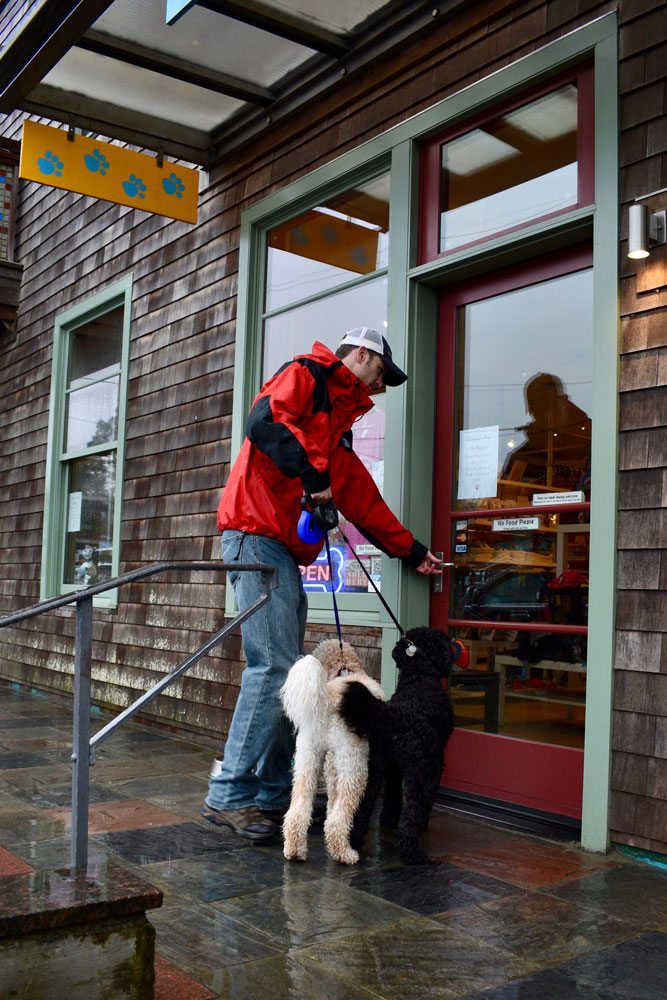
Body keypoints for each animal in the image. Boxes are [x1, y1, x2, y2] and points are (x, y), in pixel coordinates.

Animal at [282, 644, 386, 864]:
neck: (347, 669)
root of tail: (330, 701)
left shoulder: (331, 767)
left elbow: (332, 798)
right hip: (354, 768)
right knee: (336, 823)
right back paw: (345, 854)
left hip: (307, 761)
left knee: (296, 813)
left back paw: (295, 851)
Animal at [342, 628, 456, 864]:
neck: (418, 677)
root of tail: (397, 715)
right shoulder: (434, 768)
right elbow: (425, 802)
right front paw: (420, 824)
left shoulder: (393, 769)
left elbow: (392, 795)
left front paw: (387, 819)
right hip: (421, 772)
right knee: (410, 815)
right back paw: (413, 853)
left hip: (374, 769)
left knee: (363, 807)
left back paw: (352, 843)